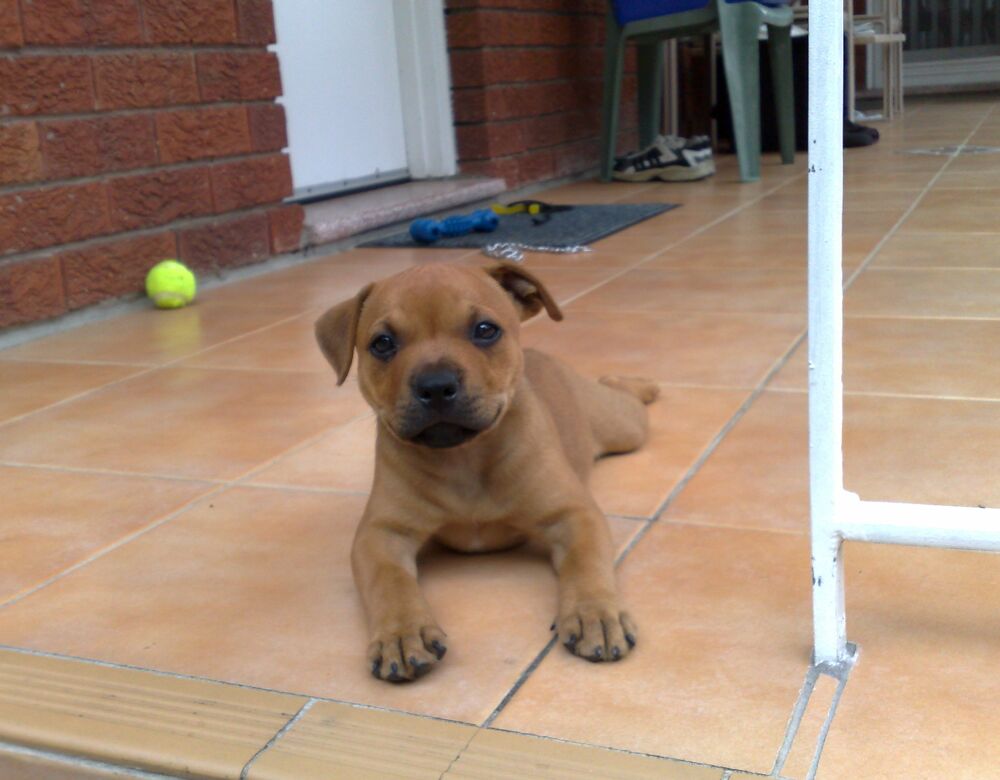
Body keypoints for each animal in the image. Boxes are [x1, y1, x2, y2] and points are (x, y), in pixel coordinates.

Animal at [312, 262, 656, 684]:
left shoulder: (574, 515)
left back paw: (640, 383)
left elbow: (586, 562)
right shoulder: (381, 534)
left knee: (623, 394)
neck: (465, 457)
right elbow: (389, 581)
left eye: (485, 330)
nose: (435, 385)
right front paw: (402, 634)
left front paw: (596, 614)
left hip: (623, 427)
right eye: (382, 343)